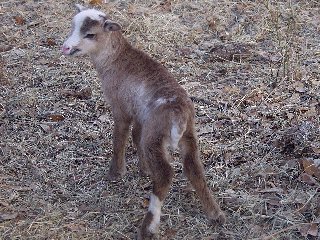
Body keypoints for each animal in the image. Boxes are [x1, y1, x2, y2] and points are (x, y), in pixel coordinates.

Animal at [62, 4, 225, 239]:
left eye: (90, 34)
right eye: (73, 26)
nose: (65, 48)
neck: (114, 59)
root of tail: (178, 114)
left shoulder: (121, 108)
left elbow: (119, 138)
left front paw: (115, 174)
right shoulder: (139, 113)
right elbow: (135, 136)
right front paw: (144, 169)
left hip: (155, 135)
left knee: (166, 174)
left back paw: (148, 227)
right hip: (188, 134)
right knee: (194, 168)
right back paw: (215, 214)